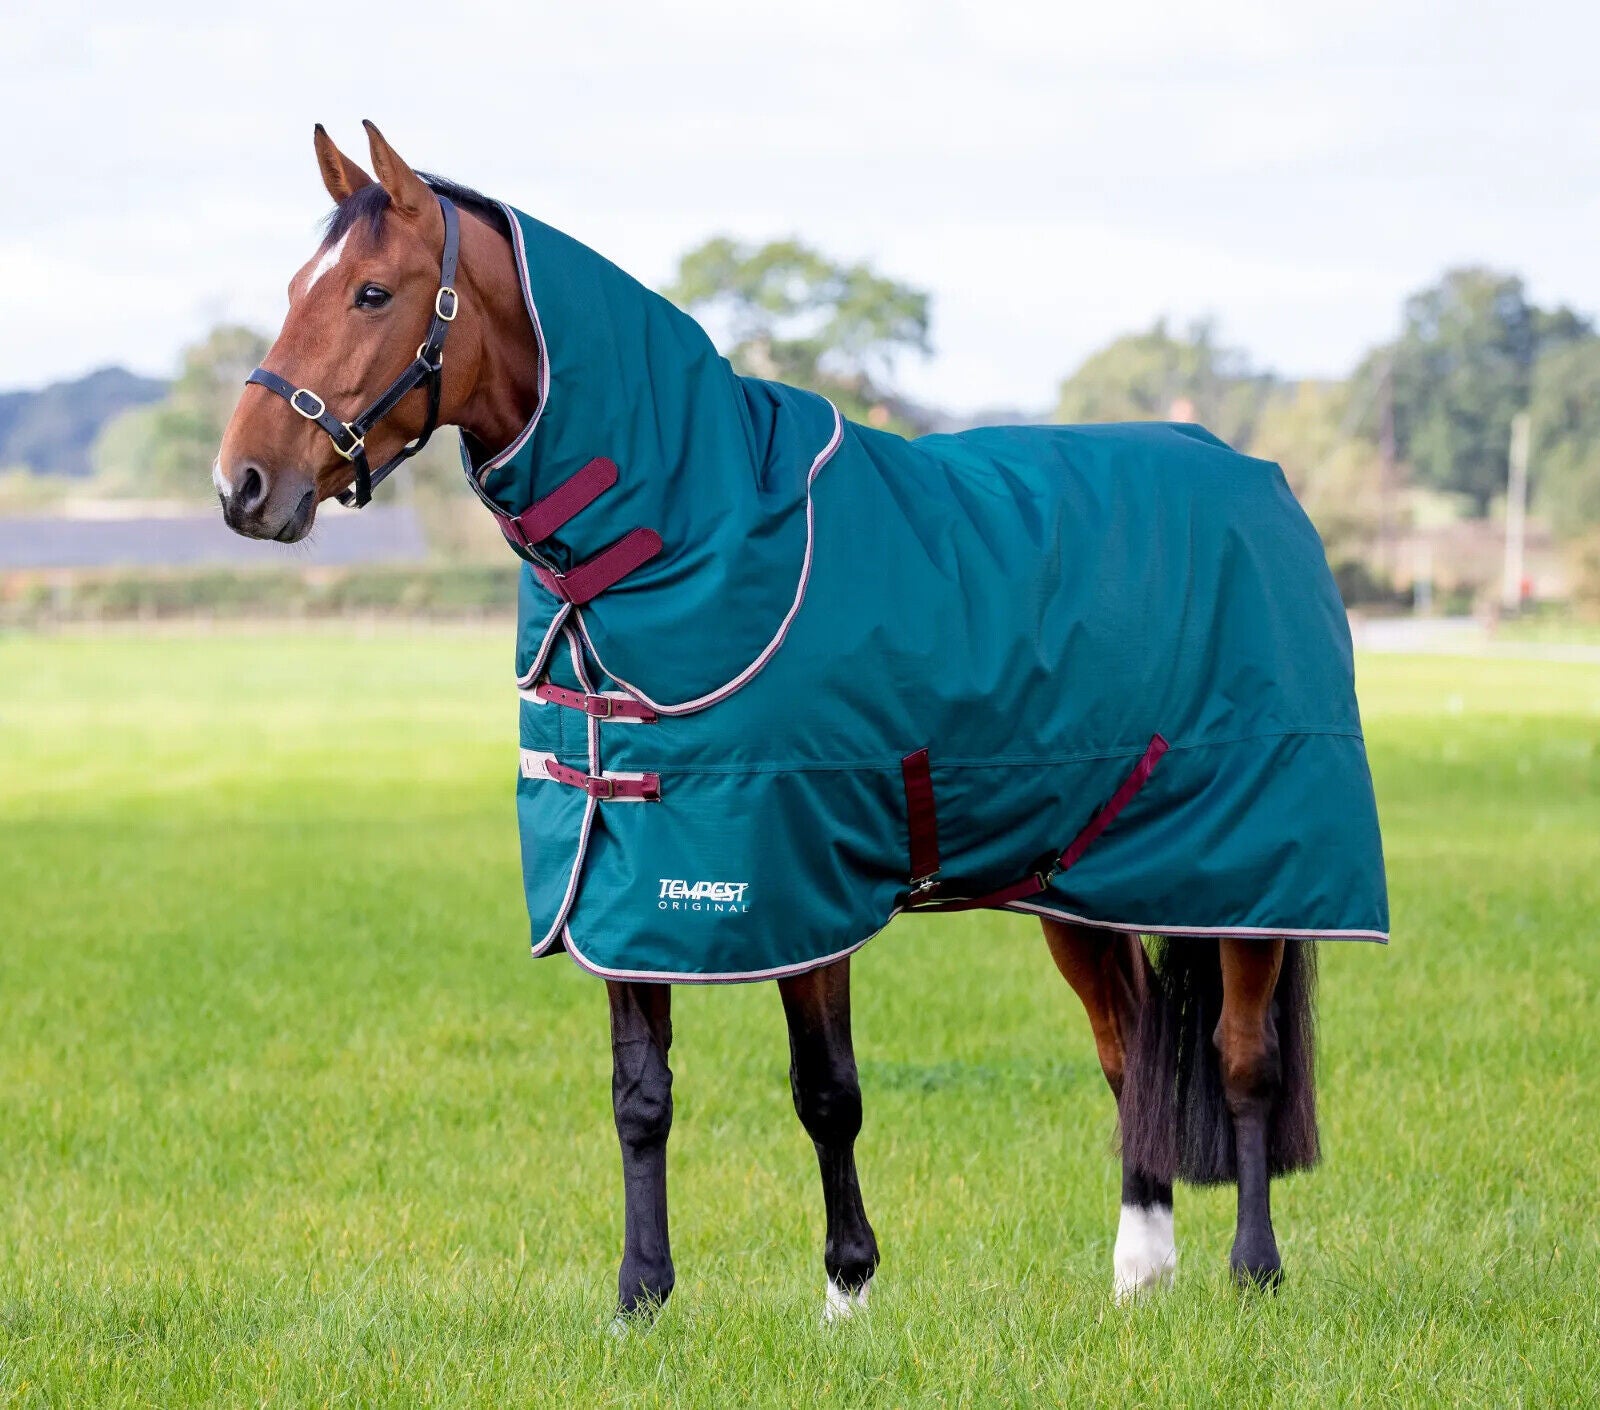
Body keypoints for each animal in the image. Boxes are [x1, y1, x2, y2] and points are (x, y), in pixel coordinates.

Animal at [216, 122, 1385, 1321]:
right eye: (299, 286)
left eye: (370, 292)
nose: (243, 484)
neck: (688, 521)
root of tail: (1261, 484)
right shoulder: (626, 877)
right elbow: (641, 1094)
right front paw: (642, 1298)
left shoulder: (796, 874)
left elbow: (827, 1091)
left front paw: (847, 1290)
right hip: (1085, 877)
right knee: (1132, 1047)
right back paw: (1140, 1270)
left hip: (1255, 869)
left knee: (1242, 1059)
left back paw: (1254, 1270)